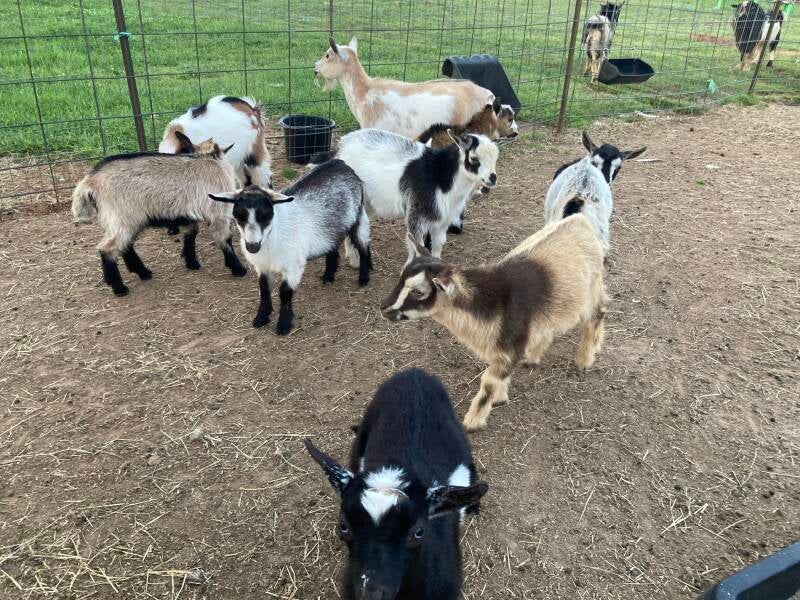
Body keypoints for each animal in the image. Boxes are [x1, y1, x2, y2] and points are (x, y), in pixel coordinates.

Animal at [71, 139, 246, 297]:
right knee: (107, 248)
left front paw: (191, 262)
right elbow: (225, 239)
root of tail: (90, 181)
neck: (213, 161)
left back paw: (143, 272)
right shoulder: (218, 212)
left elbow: (191, 234)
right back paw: (119, 288)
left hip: (126, 220)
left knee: (125, 245)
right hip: (123, 217)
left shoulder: (190, 214)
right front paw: (238, 268)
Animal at [209, 159, 371, 335]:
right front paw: (261, 318)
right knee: (333, 246)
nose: (252, 246)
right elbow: (264, 289)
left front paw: (284, 324)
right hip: (332, 228)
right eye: (239, 216)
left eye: (266, 216)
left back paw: (364, 278)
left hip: (358, 216)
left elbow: (284, 293)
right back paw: (328, 276)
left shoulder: (293, 266)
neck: (273, 236)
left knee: (363, 245)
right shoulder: (262, 267)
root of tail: (339, 162)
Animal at [322, 128, 498, 259]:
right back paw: (354, 258)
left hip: (368, 202)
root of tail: (341, 147)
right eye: (474, 158)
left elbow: (438, 243)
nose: (492, 178)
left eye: (495, 158)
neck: (441, 178)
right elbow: (418, 246)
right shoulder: (417, 214)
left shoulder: (443, 219)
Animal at [381, 219, 607, 432]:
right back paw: (532, 358)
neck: (493, 302)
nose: (384, 307)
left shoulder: (508, 348)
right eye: (400, 278)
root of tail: (580, 220)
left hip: (592, 290)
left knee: (598, 314)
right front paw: (500, 398)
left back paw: (584, 359)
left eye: (418, 291)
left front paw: (472, 422)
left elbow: (489, 383)